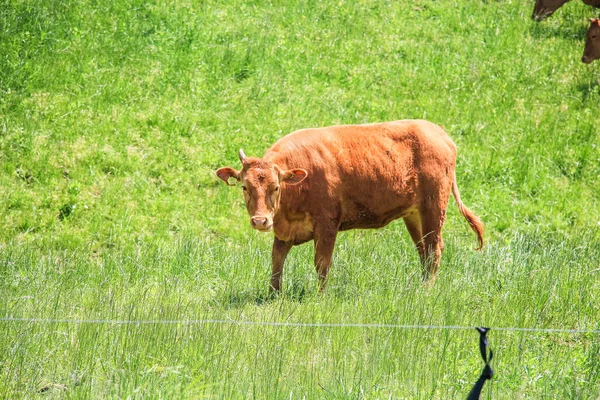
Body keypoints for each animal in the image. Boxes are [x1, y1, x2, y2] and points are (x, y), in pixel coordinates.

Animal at [216, 119, 482, 290]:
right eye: (244, 187)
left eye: (276, 187)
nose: (260, 221)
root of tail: (440, 133)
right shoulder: (283, 231)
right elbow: (276, 261)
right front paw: (273, 294)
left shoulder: (327, 224)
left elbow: (322, 263)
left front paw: (320, 295)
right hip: (414, 215)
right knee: (424, 251)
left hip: (433, 209)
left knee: (434, 249)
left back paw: (427, 290)